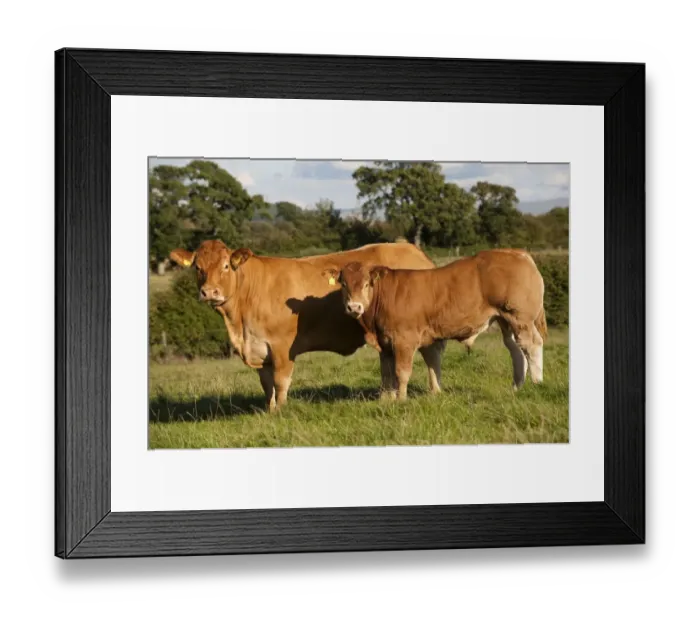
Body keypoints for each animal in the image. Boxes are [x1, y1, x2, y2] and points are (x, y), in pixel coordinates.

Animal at [168, 240, 446, 410]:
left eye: (226, 265)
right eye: (198, 267)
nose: (209, 292)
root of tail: (412, 249)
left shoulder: (282, 346)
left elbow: (281, 381)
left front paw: (281, 411)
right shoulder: (260, 347)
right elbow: (266, 384)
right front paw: (270, 411)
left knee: (430, 355)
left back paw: (434, 392)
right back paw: (387, 398)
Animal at [322, 249, 548, 401]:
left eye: (367, 284)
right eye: (344, 284)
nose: (354, 307)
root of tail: (517, 253)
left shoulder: (405, 340)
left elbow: (401, 372)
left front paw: (401, 400)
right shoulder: (385, 343)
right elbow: (387, 373)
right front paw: (388, 400)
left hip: (520, 317)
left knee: (531, 344)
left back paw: (537, 383)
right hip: (505, 320)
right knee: (516, 349)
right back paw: (517, 387)